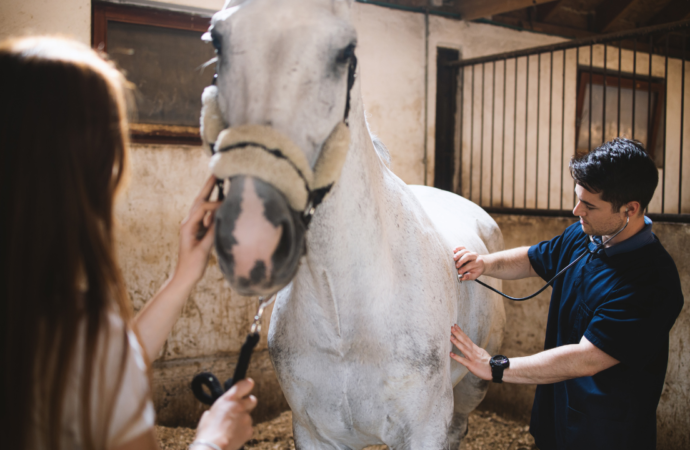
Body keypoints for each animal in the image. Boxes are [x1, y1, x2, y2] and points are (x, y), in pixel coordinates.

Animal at [202, 0, 502, 446]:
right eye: (218, 40)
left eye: (346, 50)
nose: (253, 231)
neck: (343, 315)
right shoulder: (314, 433)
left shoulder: (425, 429)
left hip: (470, 389)